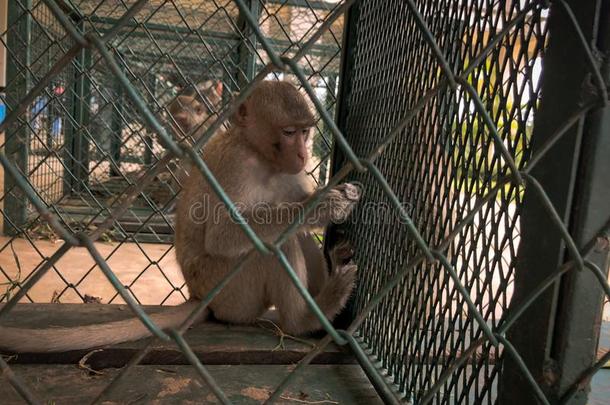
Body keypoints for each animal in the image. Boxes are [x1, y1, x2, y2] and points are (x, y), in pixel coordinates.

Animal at [0, 80, 358, 352]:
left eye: (306, 132)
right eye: (288, 132)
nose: (303, 153)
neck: (261, 156)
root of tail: (199, 296)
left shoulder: (292, 174)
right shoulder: (236, 164)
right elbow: (223, 235)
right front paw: (320, 206)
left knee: (292, 236)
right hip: (229, 292)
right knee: (271, 248)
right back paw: (305, 320)